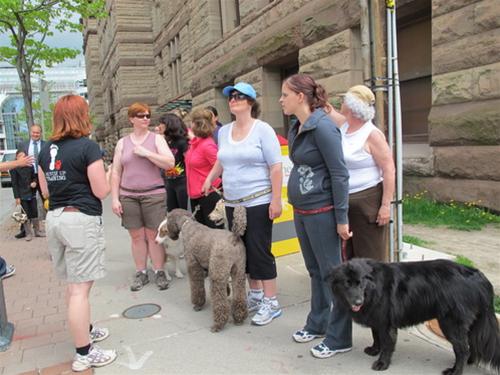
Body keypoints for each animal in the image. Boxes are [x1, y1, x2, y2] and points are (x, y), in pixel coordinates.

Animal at [328, 258, 500, 375]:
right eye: (347, 283)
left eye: (360, 282)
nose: (358, 302)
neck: (374, 288)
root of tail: (479, 276)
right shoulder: (376, 318)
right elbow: (375, 336)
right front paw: (374, 350)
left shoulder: (386, 323)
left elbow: (387, 344)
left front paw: (382, 363)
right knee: (471, 344)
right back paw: (470, 361)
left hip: (451, 323)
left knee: (463, 348)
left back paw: (456, 371)